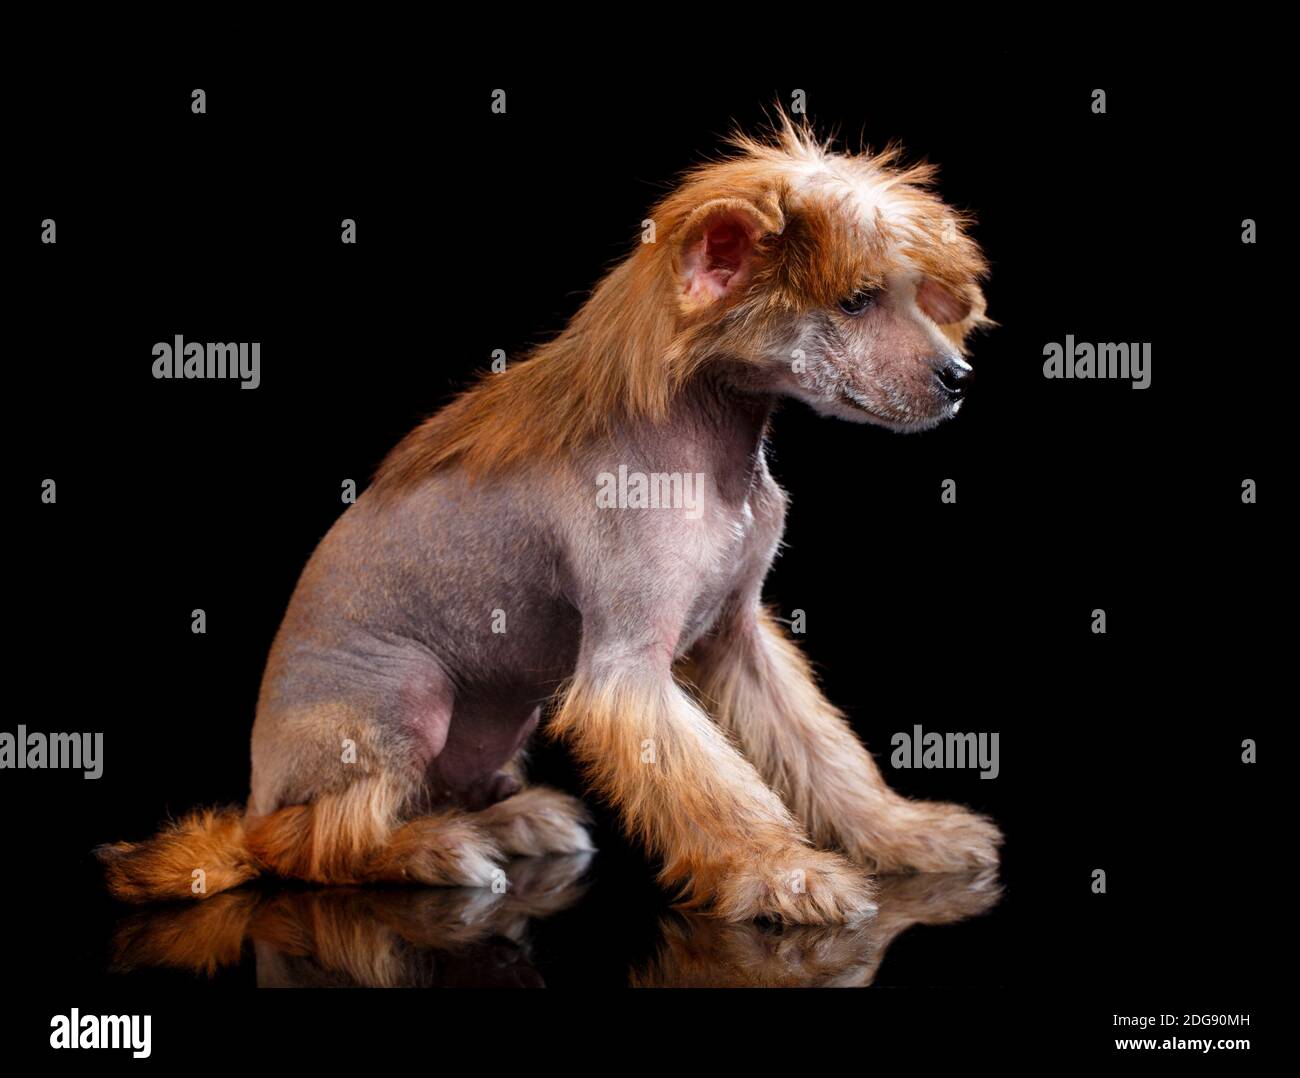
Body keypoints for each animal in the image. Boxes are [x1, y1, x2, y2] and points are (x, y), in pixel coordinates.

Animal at [98, 111, 993, 925]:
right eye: (857, 300)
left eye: (913, 295)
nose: (960, 376)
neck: (714, 453)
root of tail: (254, 802)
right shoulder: (627, 675)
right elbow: (717, 789)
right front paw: (782, 875)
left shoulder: (740, 639)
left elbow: (823, 753)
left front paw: (902, 833)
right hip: (407, 699)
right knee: (314, 842)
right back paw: (434, 850)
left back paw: (512, 818)